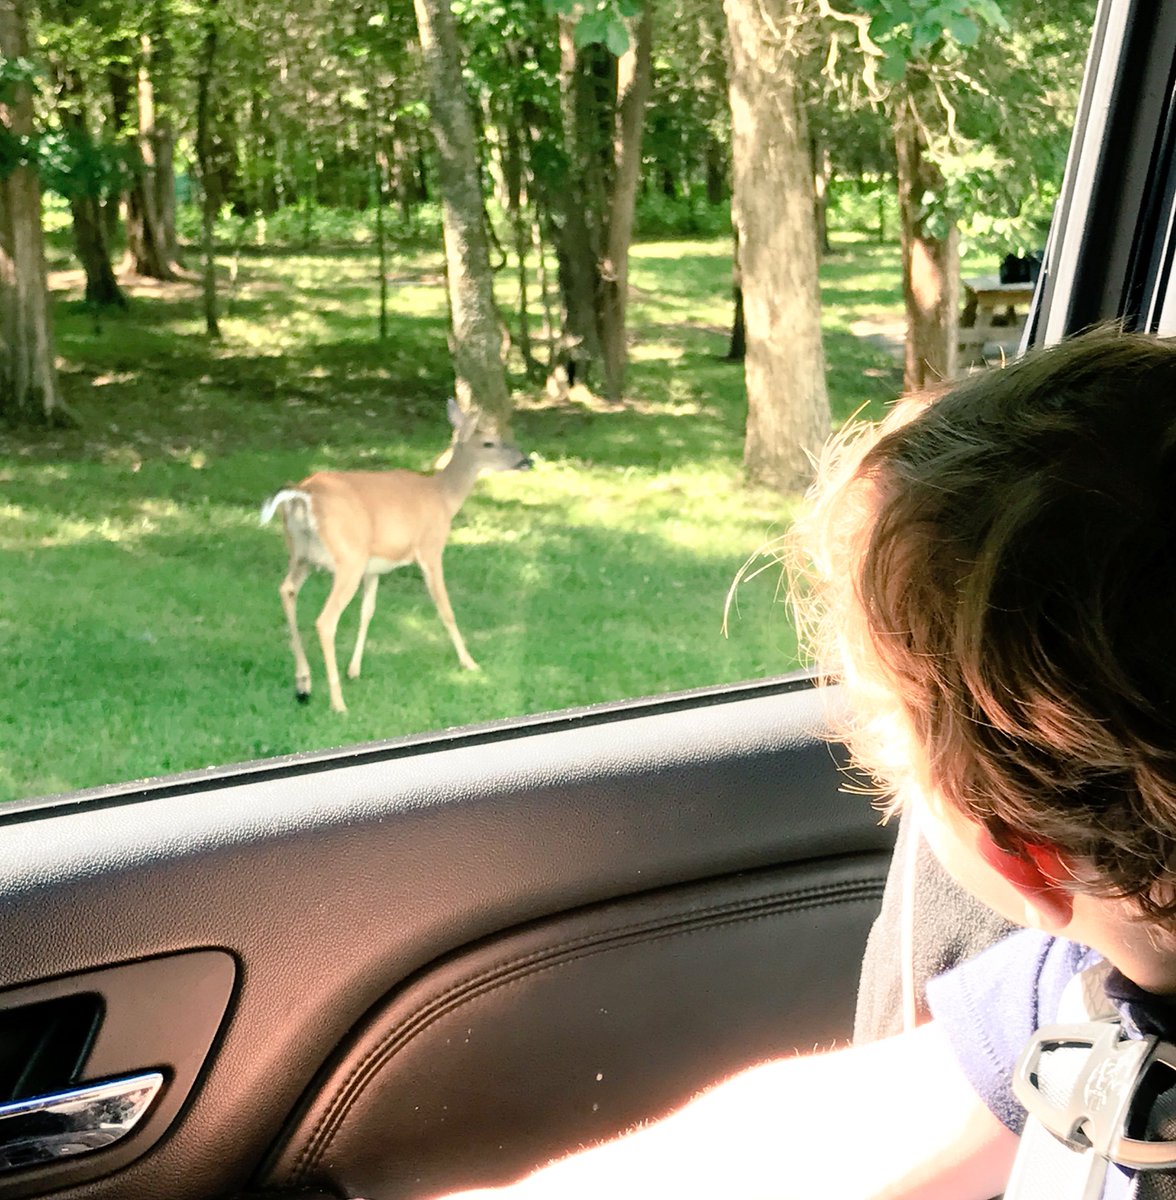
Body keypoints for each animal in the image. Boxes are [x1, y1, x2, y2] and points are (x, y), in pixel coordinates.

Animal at [259, 398, 531, 713]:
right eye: (490, 442)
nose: (527, 460)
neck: (443, 497)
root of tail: (304, 493)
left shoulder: (374, 567)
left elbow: (367, 611)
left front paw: (354, 670)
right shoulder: (430, 548)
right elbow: (445, 608)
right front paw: (469, 662)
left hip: (301, 554)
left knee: (286, 591)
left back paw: (303, 683)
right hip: (347, 558)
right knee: (325, 620)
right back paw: (338, 703)